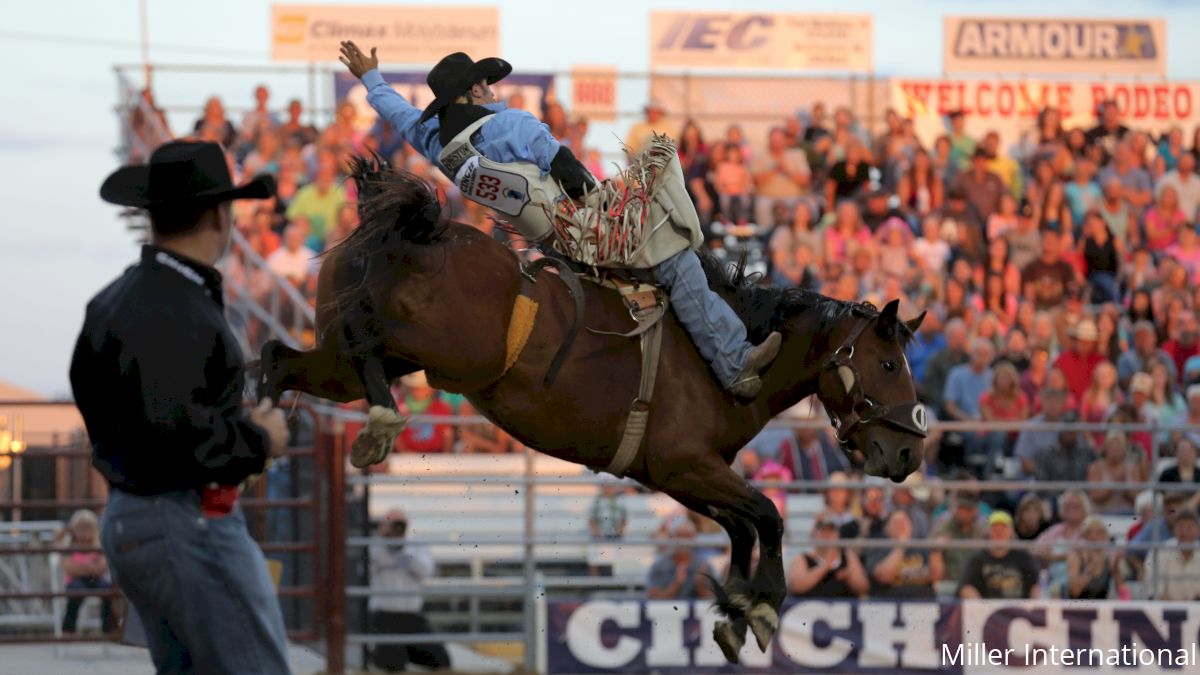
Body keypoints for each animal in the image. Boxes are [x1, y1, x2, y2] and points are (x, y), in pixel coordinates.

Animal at [262, 158, 926, 662]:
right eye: (890, 364)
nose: (910, 451)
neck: (729, 355)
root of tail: (414, 229)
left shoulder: (673, 474)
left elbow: (742, 525)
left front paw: (735, 611)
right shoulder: (688, 464)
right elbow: (768, 515)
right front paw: (762, 607)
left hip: (345, 361)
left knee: (281, 360)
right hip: (430, 349)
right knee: (363, 350)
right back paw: (378, 425)